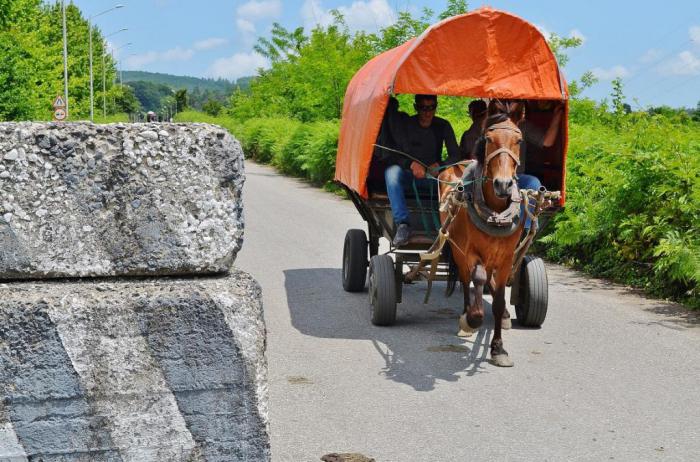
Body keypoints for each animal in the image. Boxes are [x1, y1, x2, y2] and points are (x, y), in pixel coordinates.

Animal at [438, 99, 524, 366]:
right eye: (488, 139)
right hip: (457, 249)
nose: (503, 185)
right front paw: (471, 319)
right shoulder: (471, 253)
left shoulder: (505, 259)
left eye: (519, 140)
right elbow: (476, 279)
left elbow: (498, 300)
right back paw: (466, 315)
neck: (494, 212)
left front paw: (498, 348)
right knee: (467, 281)